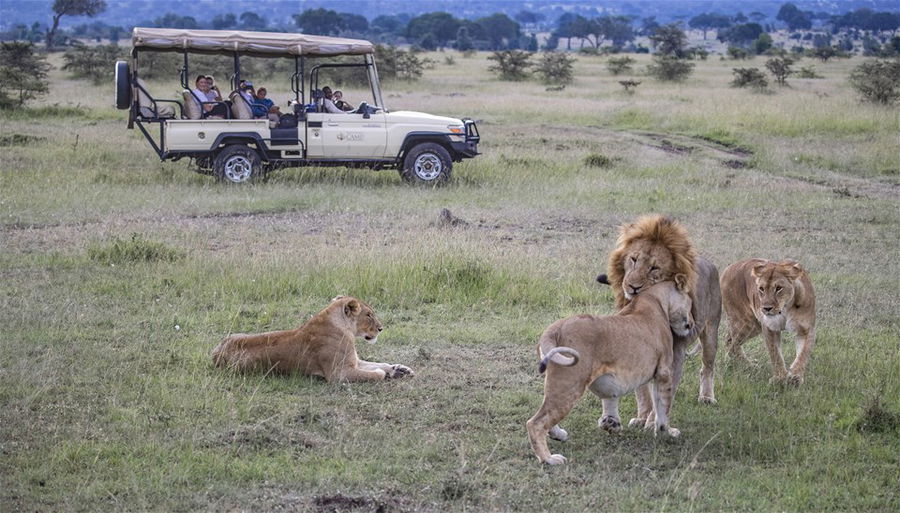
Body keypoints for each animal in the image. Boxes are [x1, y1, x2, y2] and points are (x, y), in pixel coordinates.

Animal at [213, 294, 414, 382]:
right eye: (369, 315)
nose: (381, 328)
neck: (345, 329)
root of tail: (216, 350)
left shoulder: (353, 361)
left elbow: (380, 364)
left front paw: (399, 369)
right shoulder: (339, 373)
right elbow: (376, 373)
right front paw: (386, 373)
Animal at [596, 214, 724, 422]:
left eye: (654, 268)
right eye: (633, 259)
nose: (633, 287)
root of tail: (708, 262)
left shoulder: (674, 355)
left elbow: (663, 395)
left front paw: (652, 422)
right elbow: (642, 392)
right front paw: (642, 417)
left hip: (711, 331)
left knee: (707, 366)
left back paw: (706, 397)